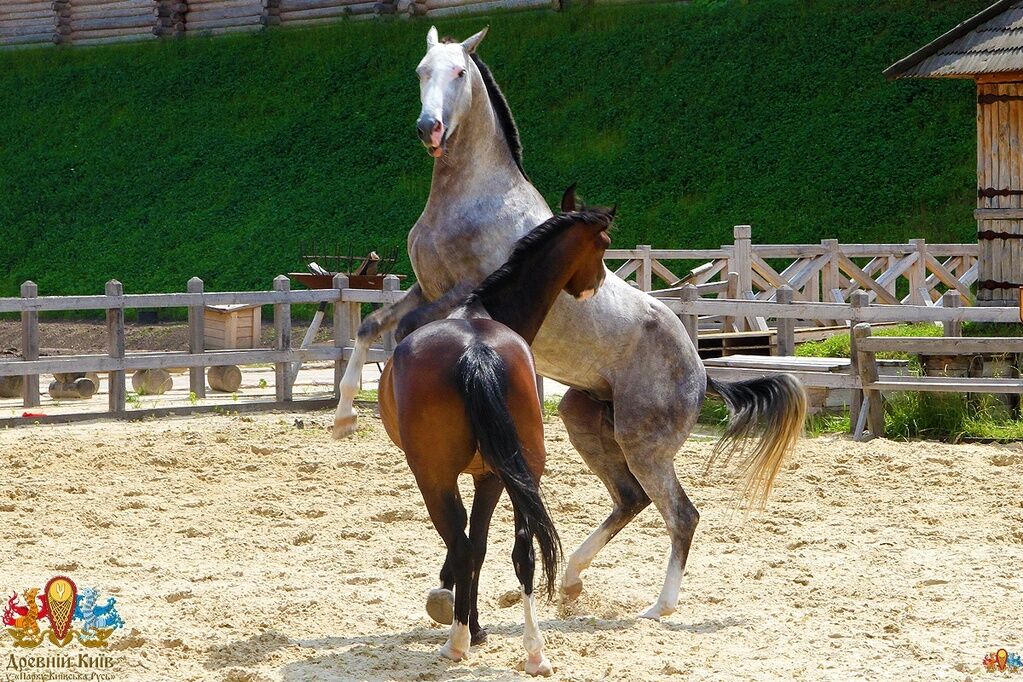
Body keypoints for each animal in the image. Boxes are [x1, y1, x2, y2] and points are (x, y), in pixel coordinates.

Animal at [335, 29, 806, 629]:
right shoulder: (426, 287)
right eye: (421, 70)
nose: (430, 128)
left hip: (644, 443)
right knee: (630, 499)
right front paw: (344, 416)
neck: (469, 199)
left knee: (681, 513)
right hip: (584, 418)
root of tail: (701, 370)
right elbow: (371, 326)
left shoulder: (459, 291)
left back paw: (658, 606)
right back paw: (574, 580)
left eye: (459, 73)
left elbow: (401, 330)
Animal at [378, 188, 609, 678]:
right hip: (523, 473)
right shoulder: (493, 476)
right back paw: (534, 652)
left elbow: (467, 545)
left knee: (463, 544)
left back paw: (458, 641)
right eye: (604, 246)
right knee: (523, 552)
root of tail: (476, 350)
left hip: (434, 478)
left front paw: (460, 612)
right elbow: (483, 546)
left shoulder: (469, 479)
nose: (595, 284)